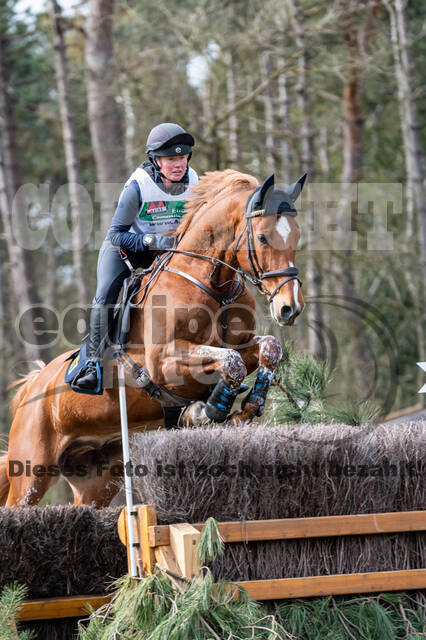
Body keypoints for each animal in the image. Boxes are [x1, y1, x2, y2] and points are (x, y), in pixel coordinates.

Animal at [0, 168, 306, 508]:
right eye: (263, 237)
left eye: (296, 235)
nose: (290, 307)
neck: (214, 287)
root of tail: (32, 387)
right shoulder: (163, 364)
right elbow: (232, 361)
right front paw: (210, 409)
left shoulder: (239, 344)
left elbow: (267, 348)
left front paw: (247, 406)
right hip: (31, 472)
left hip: (96, 479)